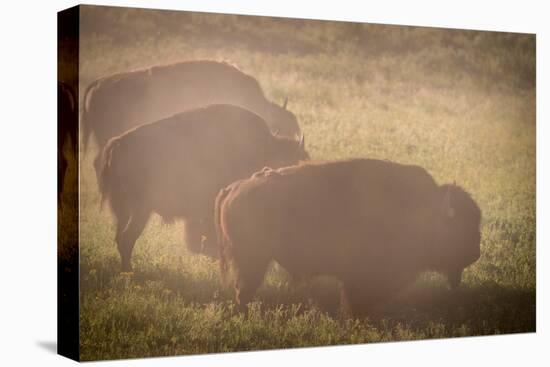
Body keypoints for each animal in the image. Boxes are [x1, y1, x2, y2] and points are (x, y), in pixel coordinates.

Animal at [99, 105, 310, 272]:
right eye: (287, 164)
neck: (262, 150)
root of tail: (117, 144)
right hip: (140, 210)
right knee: (127, 238)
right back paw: (129, 271)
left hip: (124, 210)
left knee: (121, 237)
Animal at [217, 158, 484, 314]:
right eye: (459, 227)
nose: (475, 253)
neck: (422, 209)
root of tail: (233, 188)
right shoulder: (362, 277)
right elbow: (356, 299)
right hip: (252, 260)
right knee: (244, 289)